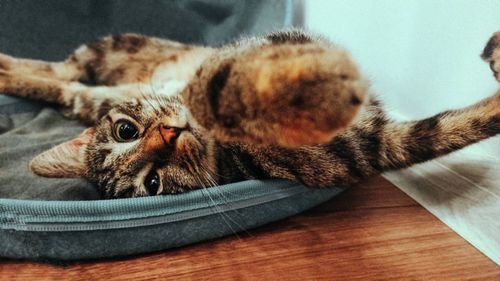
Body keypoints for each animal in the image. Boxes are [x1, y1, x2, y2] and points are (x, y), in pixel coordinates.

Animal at [0, 30, 498, 197]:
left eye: (126, 130)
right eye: (152, 183)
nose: (167, 136)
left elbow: (219, 74)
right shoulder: (357, 149)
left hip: (108, 49)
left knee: (60, 73)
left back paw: (5, 66)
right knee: (64, 85)